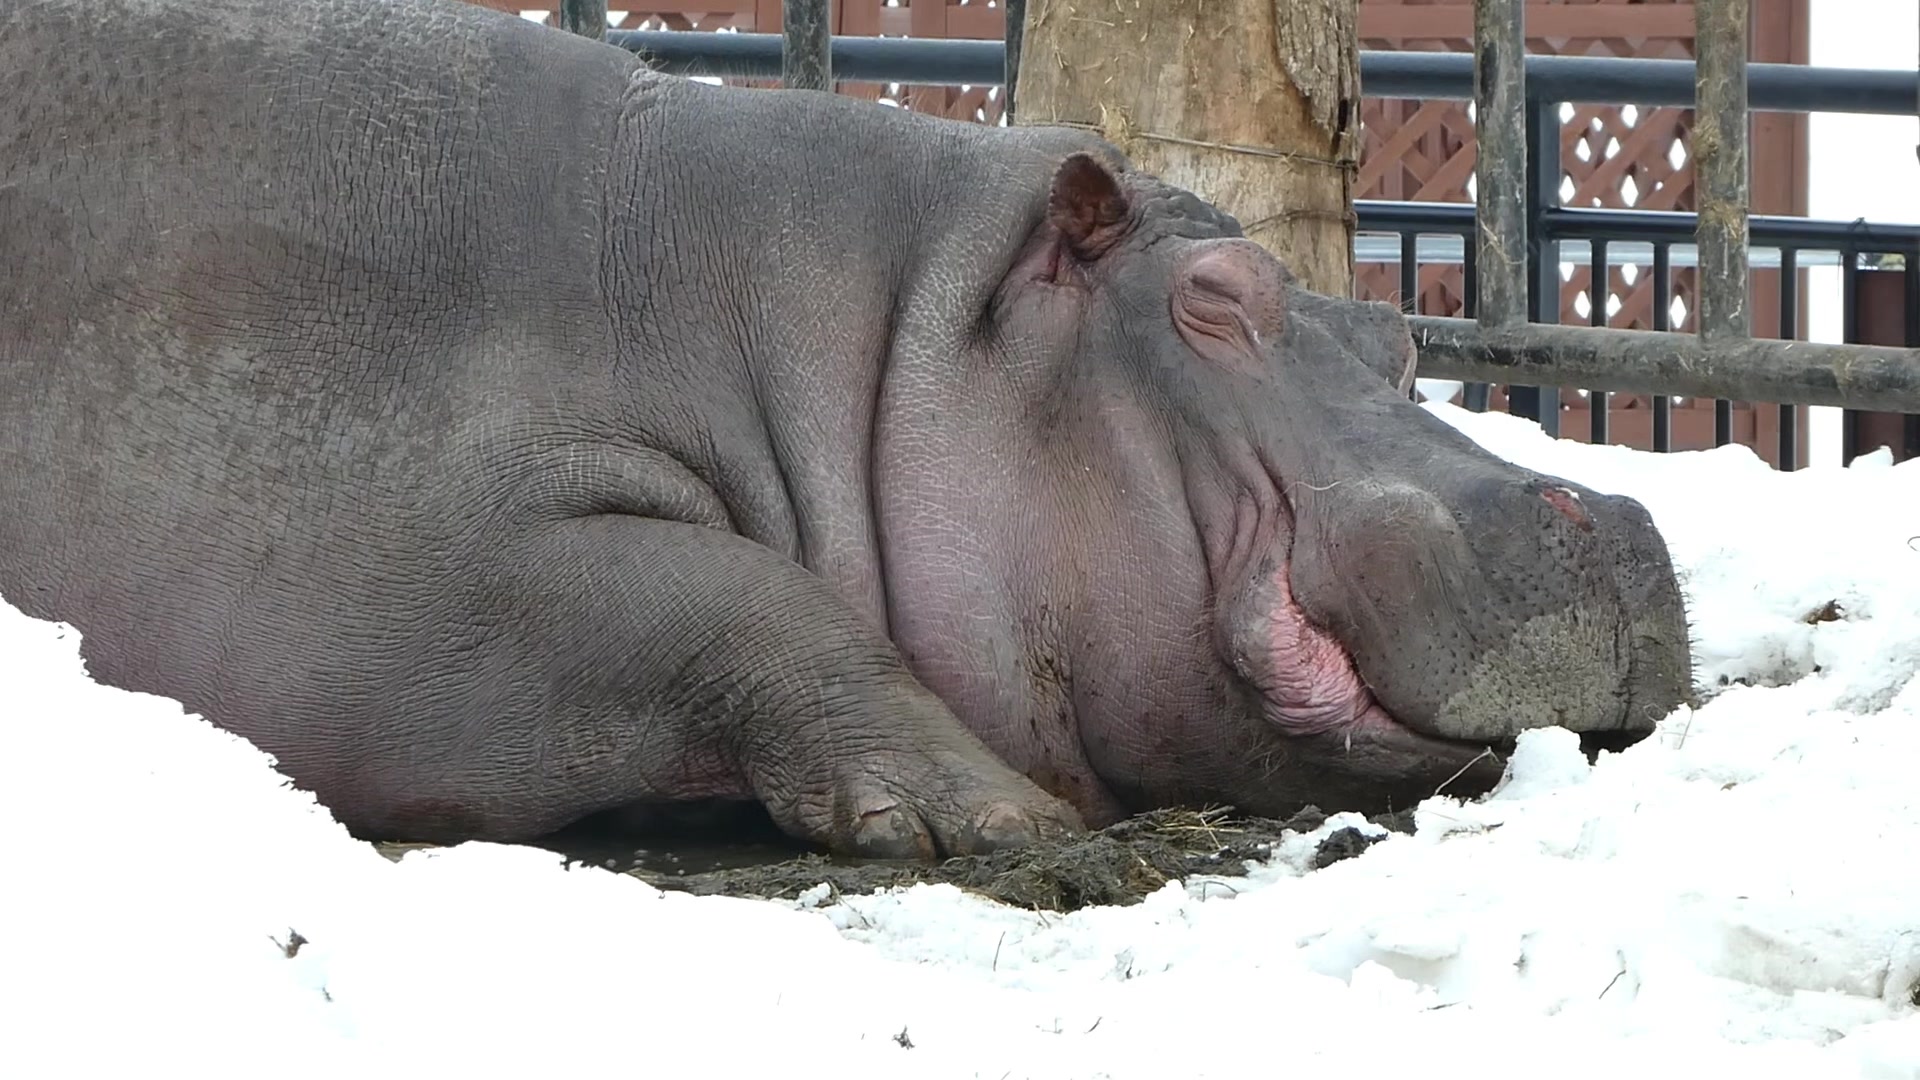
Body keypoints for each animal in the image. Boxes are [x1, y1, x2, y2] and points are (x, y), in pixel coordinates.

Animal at [0, 0, 1692, 860]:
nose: (1610, 517)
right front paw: (999, 821)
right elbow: (742, 596)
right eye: (1216, 301)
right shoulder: (409, 553)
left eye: (1397, 330)